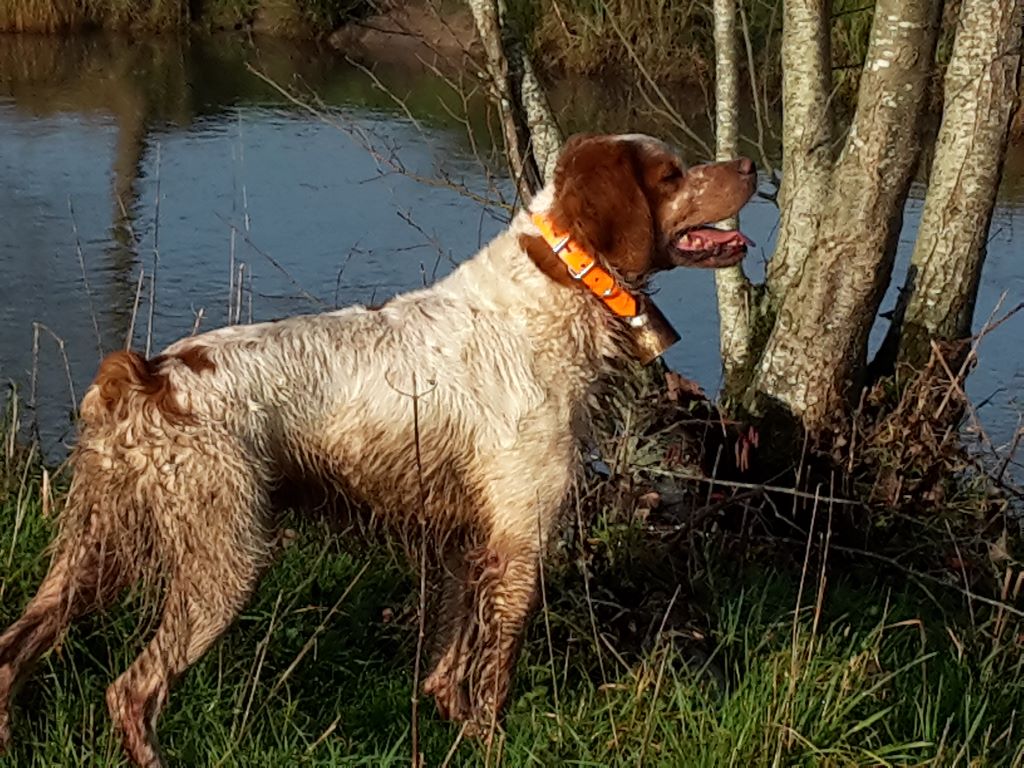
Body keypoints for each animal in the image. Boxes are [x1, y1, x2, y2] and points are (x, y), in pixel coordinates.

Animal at [0, 132, 753, 765]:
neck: (550, 294)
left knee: (13, 650)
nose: (749, 165)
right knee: (131, 689)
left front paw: (456, 724)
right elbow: (496, 669)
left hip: (97, 551)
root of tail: (146, 376)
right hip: (224, 560)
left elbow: (450, 664)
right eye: (672, 173)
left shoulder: (466, 539)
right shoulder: (520, 536)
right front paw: (492, 743)